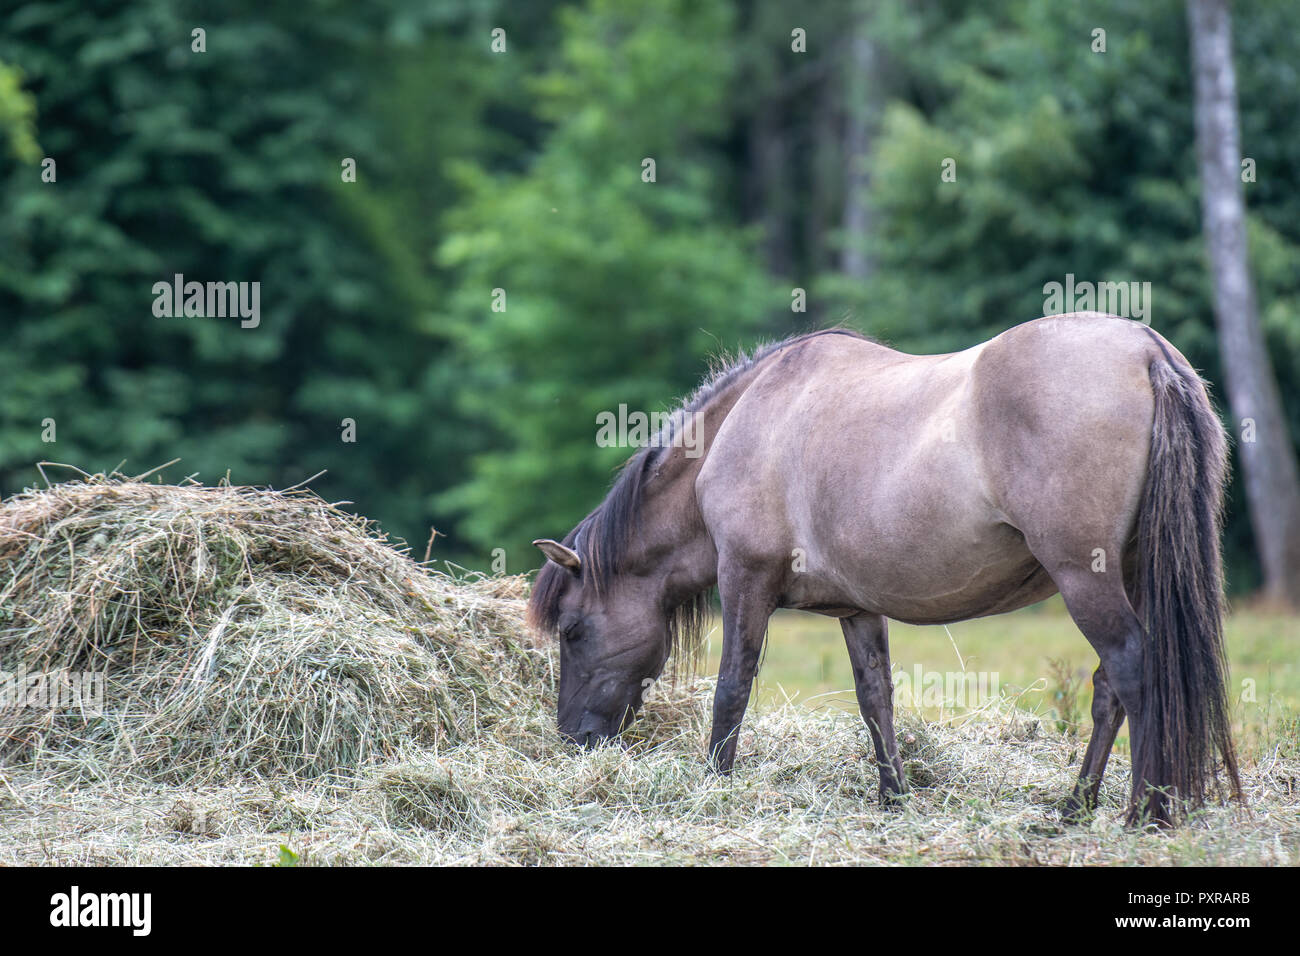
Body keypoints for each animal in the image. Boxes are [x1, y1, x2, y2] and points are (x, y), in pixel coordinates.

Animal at [529, 313, 1241, 827]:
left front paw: (715, 787)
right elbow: (876, 696)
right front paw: (892, 794)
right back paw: (1077, 805)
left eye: (571, 630)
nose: (573, 740)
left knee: (1131, 667)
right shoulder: (857, 608)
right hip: (1133, 574)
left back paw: (1144, 811)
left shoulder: (746, 581)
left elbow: (732, 687)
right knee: (1110, 686)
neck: (750, 420)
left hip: (1084, 577)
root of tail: (1148, 352)